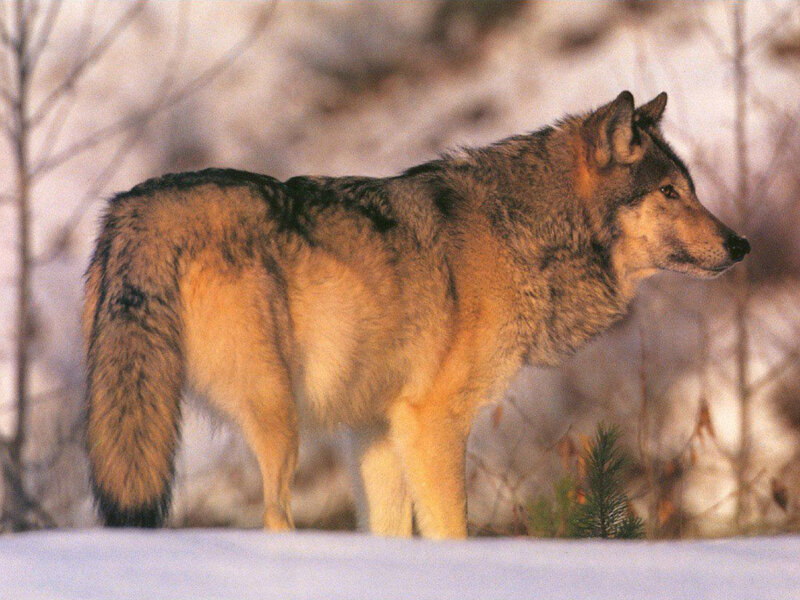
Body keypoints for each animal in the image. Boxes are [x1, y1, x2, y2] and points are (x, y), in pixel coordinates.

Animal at [84, 91, 749, 539]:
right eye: (669, 193)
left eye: (691, 189)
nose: (741, 244)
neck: (522, 233)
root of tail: (139, 208)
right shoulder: (434, 421)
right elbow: (451, 529)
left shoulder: (376, 429)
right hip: (278, 417)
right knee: (274, 517)